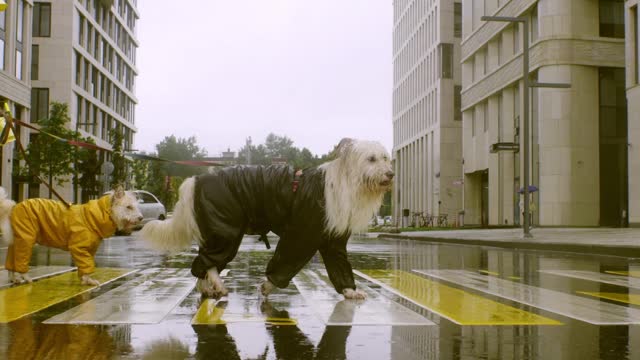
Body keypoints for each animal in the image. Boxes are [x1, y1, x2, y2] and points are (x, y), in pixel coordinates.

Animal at [0, 187, 142, 286]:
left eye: (135, 207)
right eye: (129, 207)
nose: (141, 218)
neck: (94, 217)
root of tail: (14, 207)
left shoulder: (89, 250)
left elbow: (85, 265)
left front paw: (85, 280)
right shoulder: (78, 248)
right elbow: (86, 264)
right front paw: (89, 281)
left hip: (17, 239)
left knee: (11, 261)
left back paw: (14, 278)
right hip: (26, 239)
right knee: (21, 260)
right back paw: (26, 278)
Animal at [138, 139, 392, 300]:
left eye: (385, 158)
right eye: (371, 159)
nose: (391, 174)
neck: (342, 182)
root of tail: (197, 179)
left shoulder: (333, 240)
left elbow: (340, 266)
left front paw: (350, 292)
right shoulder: (302, 234)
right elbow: (286, 261)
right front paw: (268, 285)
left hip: (217, 228)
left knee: (204, 263)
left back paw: (207, 289)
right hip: (226, 229)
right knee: (208, 261)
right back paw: (217, 286)